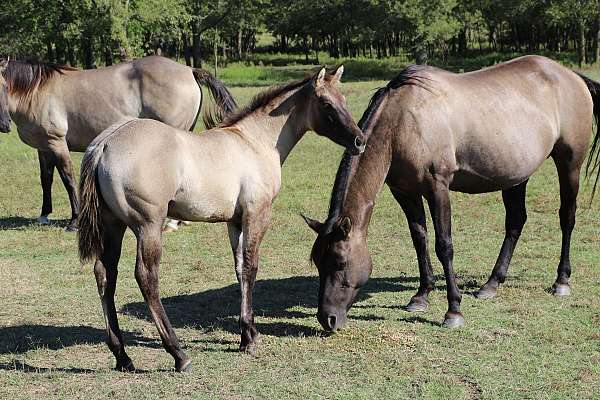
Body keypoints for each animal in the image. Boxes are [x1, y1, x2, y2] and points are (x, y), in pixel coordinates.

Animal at [2, 56, 237, 231]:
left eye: (3, 86)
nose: (4, 125)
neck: (37, 91)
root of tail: (188, 69)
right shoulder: (43, 147)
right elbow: (46, 179)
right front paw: (44, 215)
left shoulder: (56, 143)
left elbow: (68, 180)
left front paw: (74, 221)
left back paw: (172, 222)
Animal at [78, 66, 368, 372]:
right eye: (326, 104)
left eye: (344, 99)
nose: (359, 141)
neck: (254, 141)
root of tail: (104, 144)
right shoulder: (257, 214)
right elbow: (251, 268)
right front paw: (249, 340)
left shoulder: (234, 221)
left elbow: (240, 269)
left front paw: (247, 334)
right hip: (148, 226)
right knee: (146, 277)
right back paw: (178, 354)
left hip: (114, 225)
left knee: (105, 274)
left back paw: (122, 356)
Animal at [304, 55, 600, 332]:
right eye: (318, 261)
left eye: (340, 262)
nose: (327, 318)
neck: (402, 122)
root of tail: (572, 76)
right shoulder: (404, 192)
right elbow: (419, 239)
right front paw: (421, 296)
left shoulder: (438, 188)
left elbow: (443, 245)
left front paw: (453, 310)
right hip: (516, 175)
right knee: (516, 221)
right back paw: (491, 284)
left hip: (570, 164)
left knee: (567, 217)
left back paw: (561, 281)